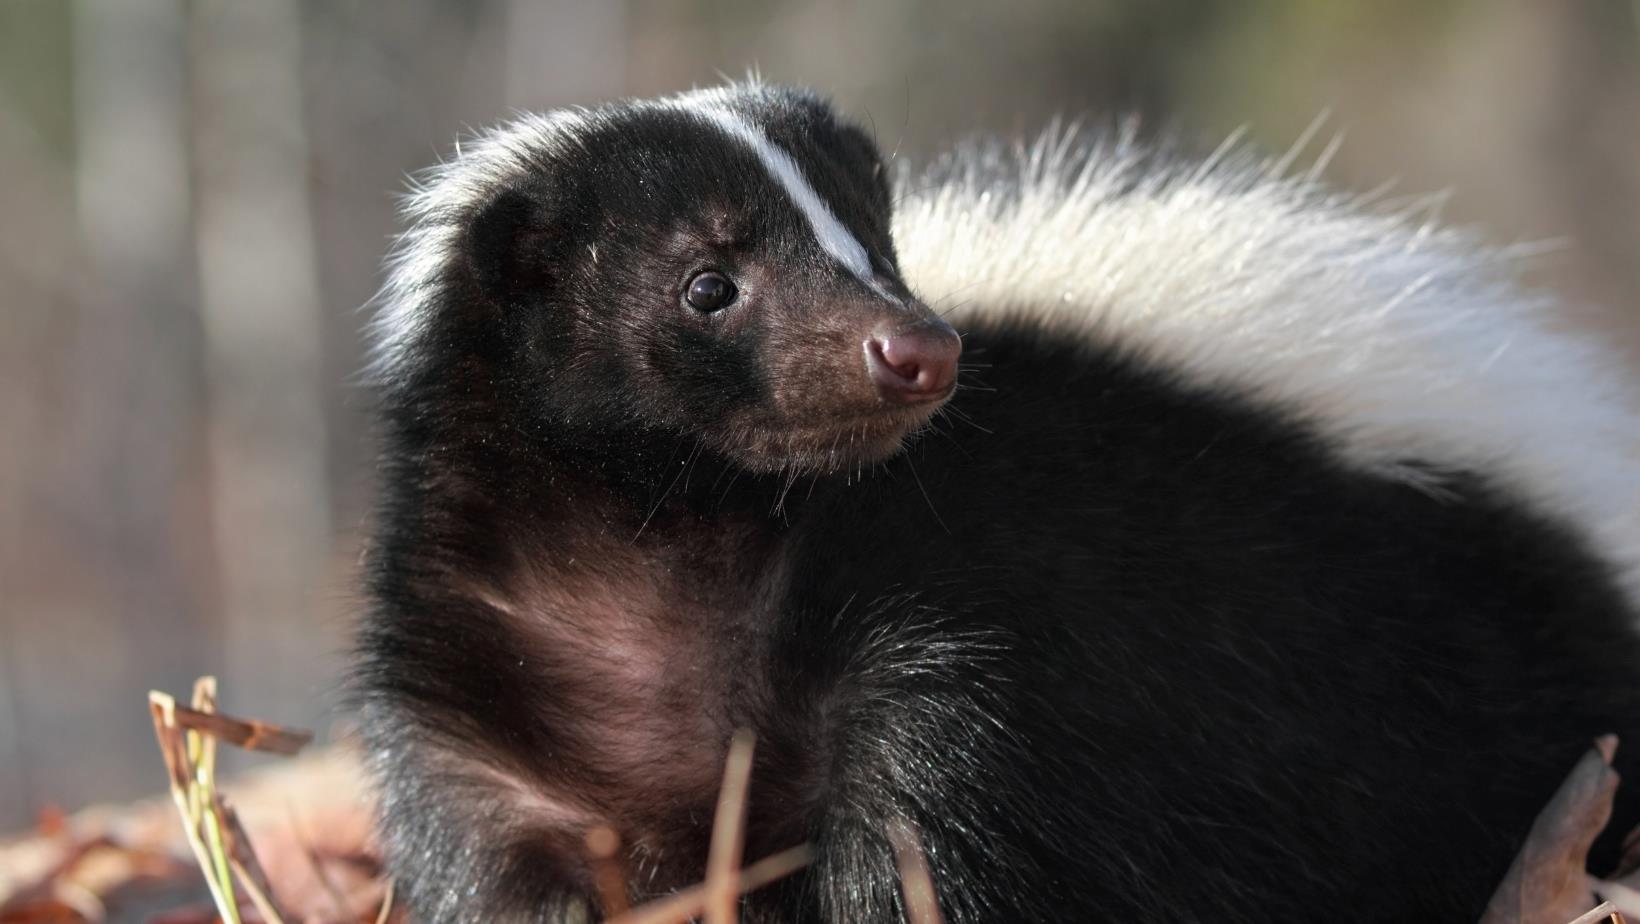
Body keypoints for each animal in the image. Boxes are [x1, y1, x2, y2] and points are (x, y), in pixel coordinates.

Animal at [355, 83, 1640, 919]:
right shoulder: (487, 743)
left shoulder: (962, 640)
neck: (675, 551)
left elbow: (926, 850)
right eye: (706, 284)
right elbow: (504, 886)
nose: (915, 346)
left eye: (877, 246)